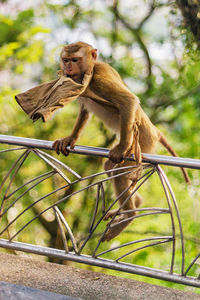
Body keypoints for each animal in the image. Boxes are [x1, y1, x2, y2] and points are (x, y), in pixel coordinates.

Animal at [52, 41, 190, 241]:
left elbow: (128, 101)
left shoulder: (99, 79)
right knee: (111, 167)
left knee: (119, 169)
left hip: (142, 144)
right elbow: (85, 110)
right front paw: (70, 138)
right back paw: (134, 204)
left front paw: (121, 147)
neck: (90, 70)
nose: (68, 67)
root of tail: (154, 131)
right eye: (66, 59)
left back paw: (130, 215)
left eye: (75, 60)